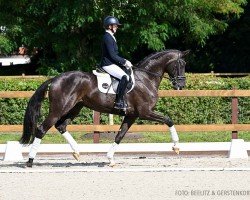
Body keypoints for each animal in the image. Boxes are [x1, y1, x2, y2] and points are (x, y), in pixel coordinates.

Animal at [20, 49, 188, 167]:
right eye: (180, 65)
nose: (181, 85)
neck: (146, 79)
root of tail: (55, 79)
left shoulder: (131, 115)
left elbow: (120, 135)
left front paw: (110, 159)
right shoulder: (145, 112)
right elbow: (169, 120)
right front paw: (176, 146)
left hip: (75, 108)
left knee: (61, 126)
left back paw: (76, 152)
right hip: (59, 109)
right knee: (42, 129)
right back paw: (30, 161)